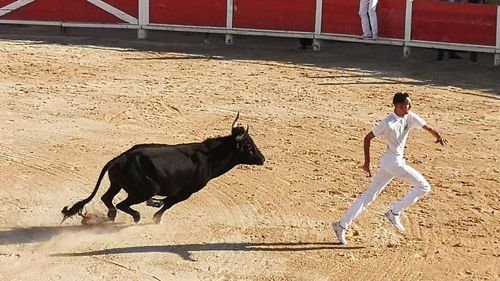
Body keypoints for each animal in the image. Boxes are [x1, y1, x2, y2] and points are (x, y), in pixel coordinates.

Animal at [60, 112, 266, 223]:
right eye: (248, 146)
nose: (262, 159)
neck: (208, 157)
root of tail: (120, 158)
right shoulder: (186, 192)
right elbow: (168, 203)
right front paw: (156, 218)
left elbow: (166, 202)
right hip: (145, 189)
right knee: (122, 203)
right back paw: (135, 216)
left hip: (116, 184)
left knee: (107, 198)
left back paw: (111, 216)